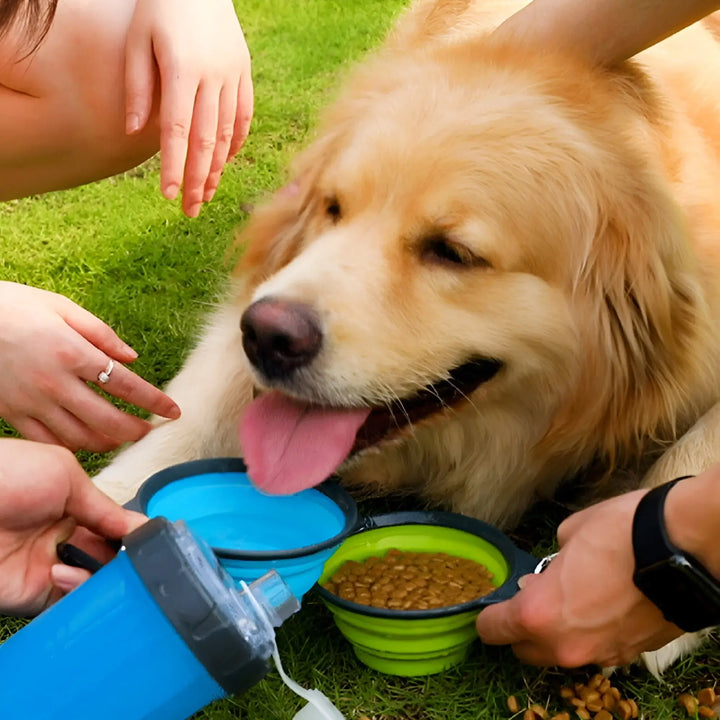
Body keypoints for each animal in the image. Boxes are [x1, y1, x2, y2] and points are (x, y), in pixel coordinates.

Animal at [97, 0, 720, 676]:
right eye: (332, 208)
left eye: (452, 252)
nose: (266, 337)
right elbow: (198, 403)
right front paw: (99, 497)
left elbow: (697, 448)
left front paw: (643, 615)